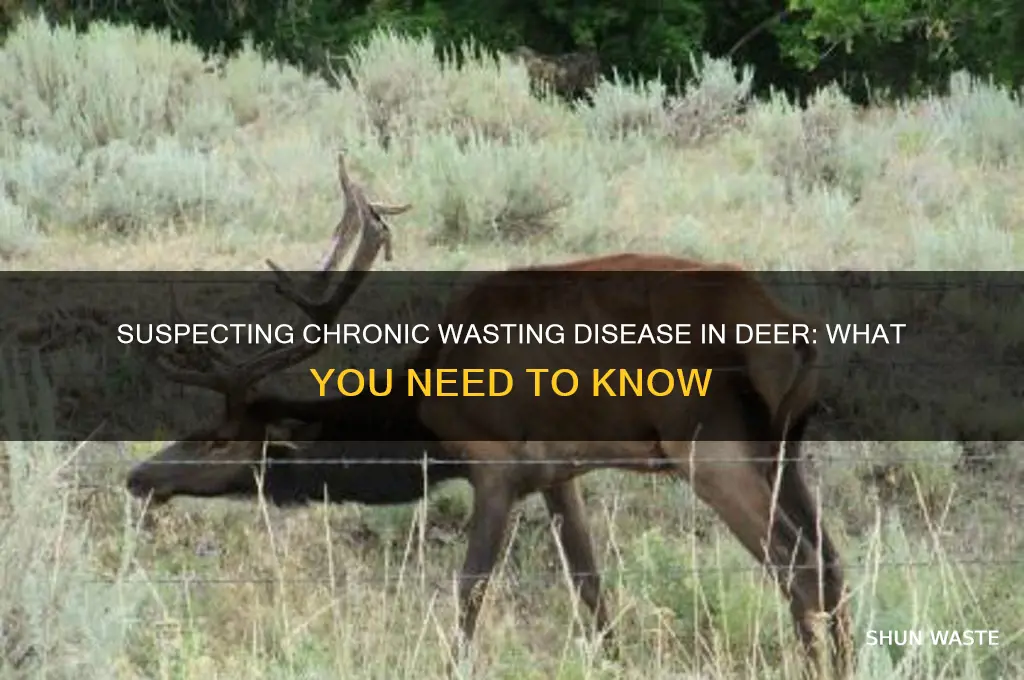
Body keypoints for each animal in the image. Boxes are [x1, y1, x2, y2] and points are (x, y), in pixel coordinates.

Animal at [125, 152, 854, 679]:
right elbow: (589, 585)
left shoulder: (494, 461)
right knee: (833, 565)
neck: (424, 419)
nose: (139, 477)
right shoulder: (561, 473)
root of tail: (797, 337)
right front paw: (613, 659)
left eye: (219, 439)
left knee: (796, 567)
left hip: (709, 446)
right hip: (784, 449)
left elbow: (469, 588)